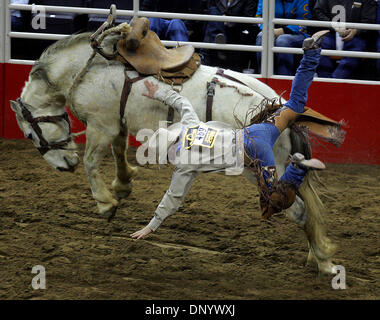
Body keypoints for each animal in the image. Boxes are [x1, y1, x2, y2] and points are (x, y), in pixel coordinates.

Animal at [8, 31, 336, 274]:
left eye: (29, 133)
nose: (64, 165)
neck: (84, 69)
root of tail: (278, 106)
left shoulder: (101, 124)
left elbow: (91, 162)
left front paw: (106, 203)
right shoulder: (118, 123)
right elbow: (119, 150)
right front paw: (122, 184)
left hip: (267, 172)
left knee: (299, 206)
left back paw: (321, 258)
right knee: (306, 202)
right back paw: (317, 255)